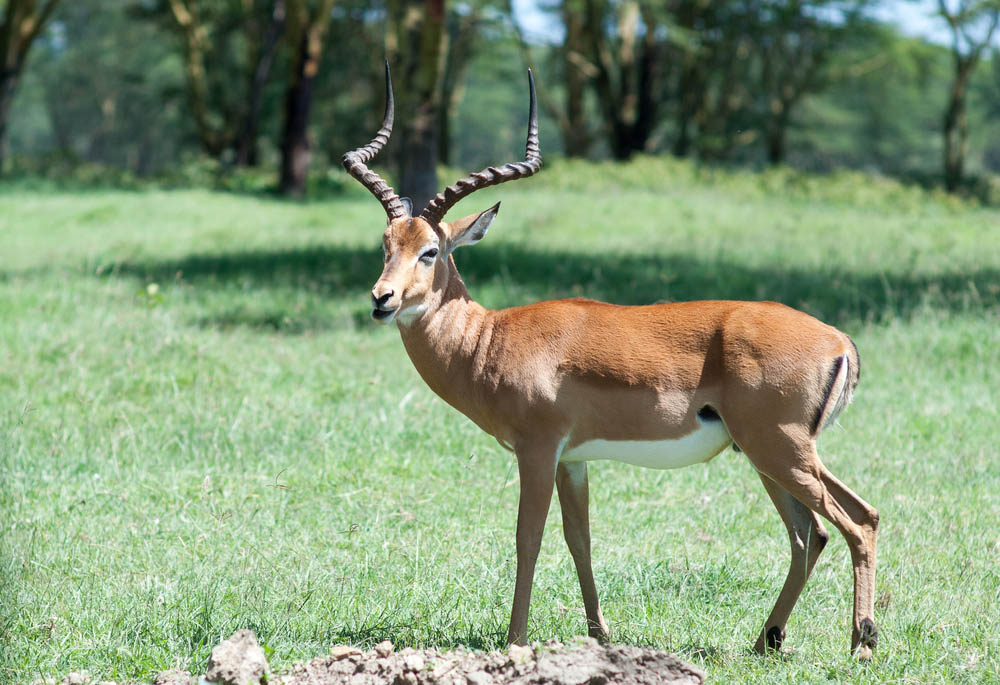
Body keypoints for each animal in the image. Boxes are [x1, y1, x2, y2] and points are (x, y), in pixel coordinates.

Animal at [342, 64, 876, 656]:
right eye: (386, 243)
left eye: (430, 251)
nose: (382, 299)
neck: (490, 339)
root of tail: (838, 341)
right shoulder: (573, 459)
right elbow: (580, 539)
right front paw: (601, 634)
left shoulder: (538, 449)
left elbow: (529, 537)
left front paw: (515, 639)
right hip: (769, 455)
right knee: (813, 532)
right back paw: (767, 641)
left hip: (779, 448)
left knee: (857, 521)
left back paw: (861, 643)